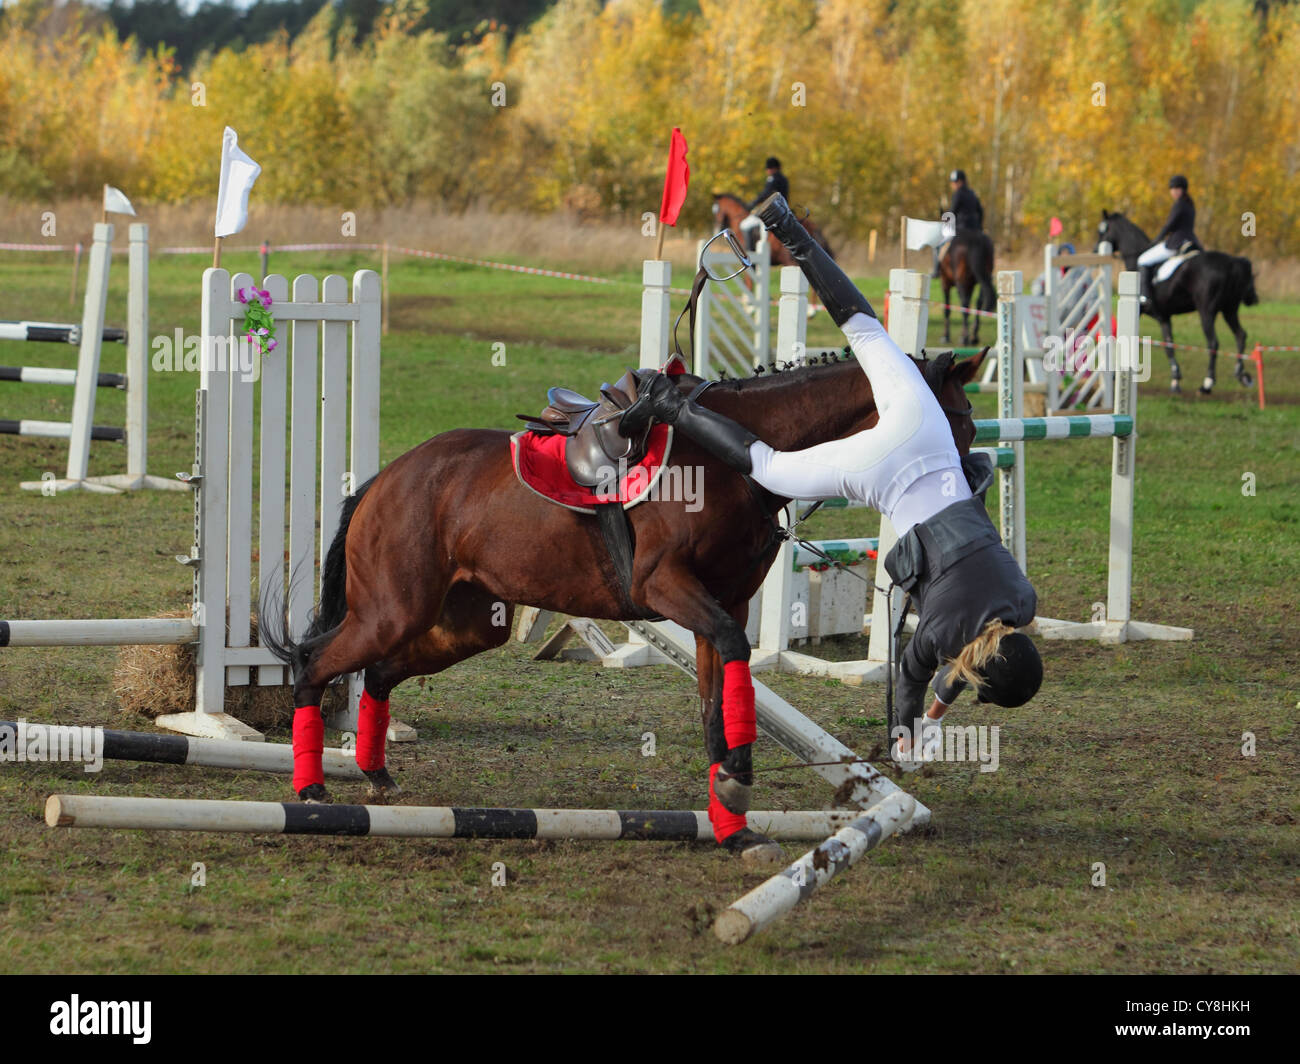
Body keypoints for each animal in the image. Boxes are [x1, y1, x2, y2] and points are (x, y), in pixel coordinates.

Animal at [261, 343, 982, 858]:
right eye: (952, 420)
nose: (971, 482)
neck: (734, 455)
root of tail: (384, 478)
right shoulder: (666, 588)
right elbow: (731, 669)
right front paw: (737, 787)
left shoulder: (722, 606)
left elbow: (717, 706)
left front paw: (733, 825)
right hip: (394, 610)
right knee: (315, 663)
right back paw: (311, 788)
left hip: (465, 622)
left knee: (380, 672)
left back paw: (375, 773)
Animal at [1097, 209, 1258, 392]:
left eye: (1102, 230)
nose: (1096, 249)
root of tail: (1232, 262)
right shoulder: (1164, 317)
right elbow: (1169, 345)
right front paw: (1175, 379)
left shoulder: (1146, 311)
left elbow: (1156, 344)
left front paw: (1114, 374)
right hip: (1229, 310)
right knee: (1240, 335)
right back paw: (1241, 375)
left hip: (1206, 312)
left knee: (1213, 342)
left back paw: (1207, 383)